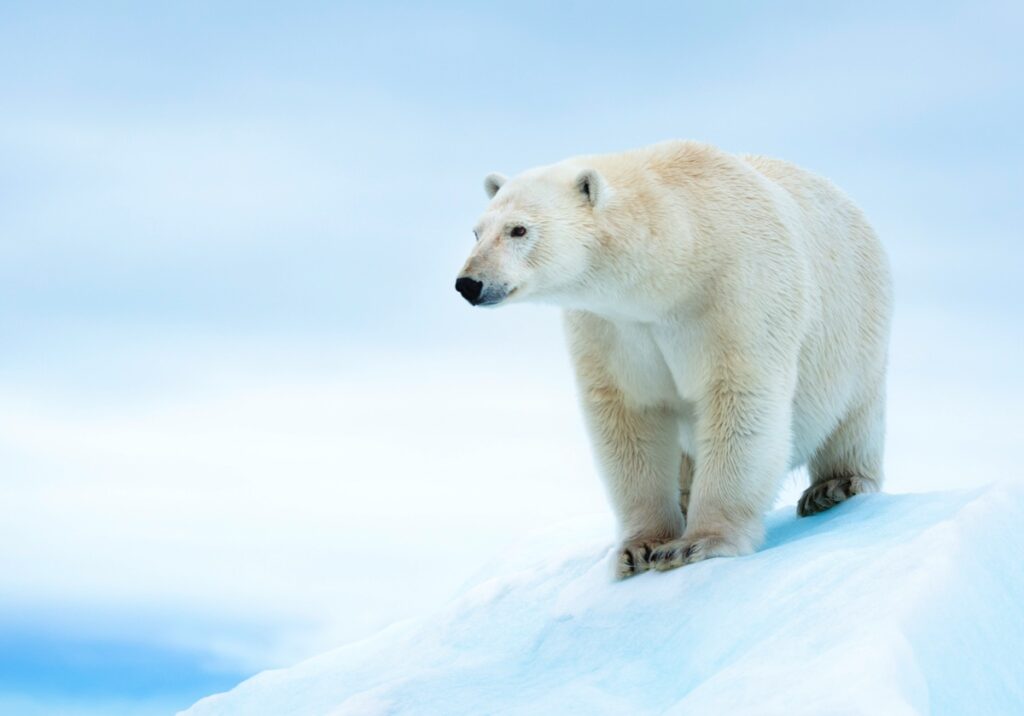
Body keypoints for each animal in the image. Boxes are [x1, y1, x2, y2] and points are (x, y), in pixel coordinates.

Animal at [454, 138, 888, 577]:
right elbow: (628, 417)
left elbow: (740, 400)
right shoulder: (612, 326)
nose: (469, 283)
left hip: (855, 327)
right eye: (476, 232)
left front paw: (698, 543)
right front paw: (639, 549)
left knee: (854, 417)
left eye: (518, 229)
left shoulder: (740, 292)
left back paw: (833, 487)